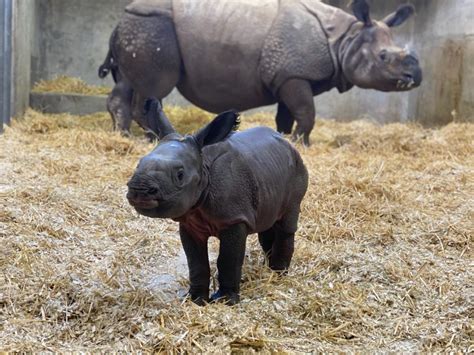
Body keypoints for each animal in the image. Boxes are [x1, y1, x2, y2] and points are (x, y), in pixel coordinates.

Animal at [103, 0, 422, 146]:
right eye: (384, 57)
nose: (416, 76)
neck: (345, 38)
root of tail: (119, 20)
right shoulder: (294, 75)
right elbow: (307, 112)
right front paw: (303, 143)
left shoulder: (288, 75)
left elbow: (288, 114)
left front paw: (283, 138)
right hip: (152, 26)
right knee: (154, 87)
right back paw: (152, 139)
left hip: (137, 28)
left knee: (128, 83)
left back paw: (124, 135)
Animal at [126, 98, 310, 304]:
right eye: (138, 164)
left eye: (180, 175)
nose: (139, 189)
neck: (203, 166)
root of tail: (288, 143)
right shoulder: (190, 222)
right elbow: (196, 262)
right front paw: (196, 299)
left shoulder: (234, 218)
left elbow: (228, 260)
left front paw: (225, 300)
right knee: (267, 224)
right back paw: (267, 270)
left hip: (297, 170)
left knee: (287, 222)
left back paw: (278, 275)